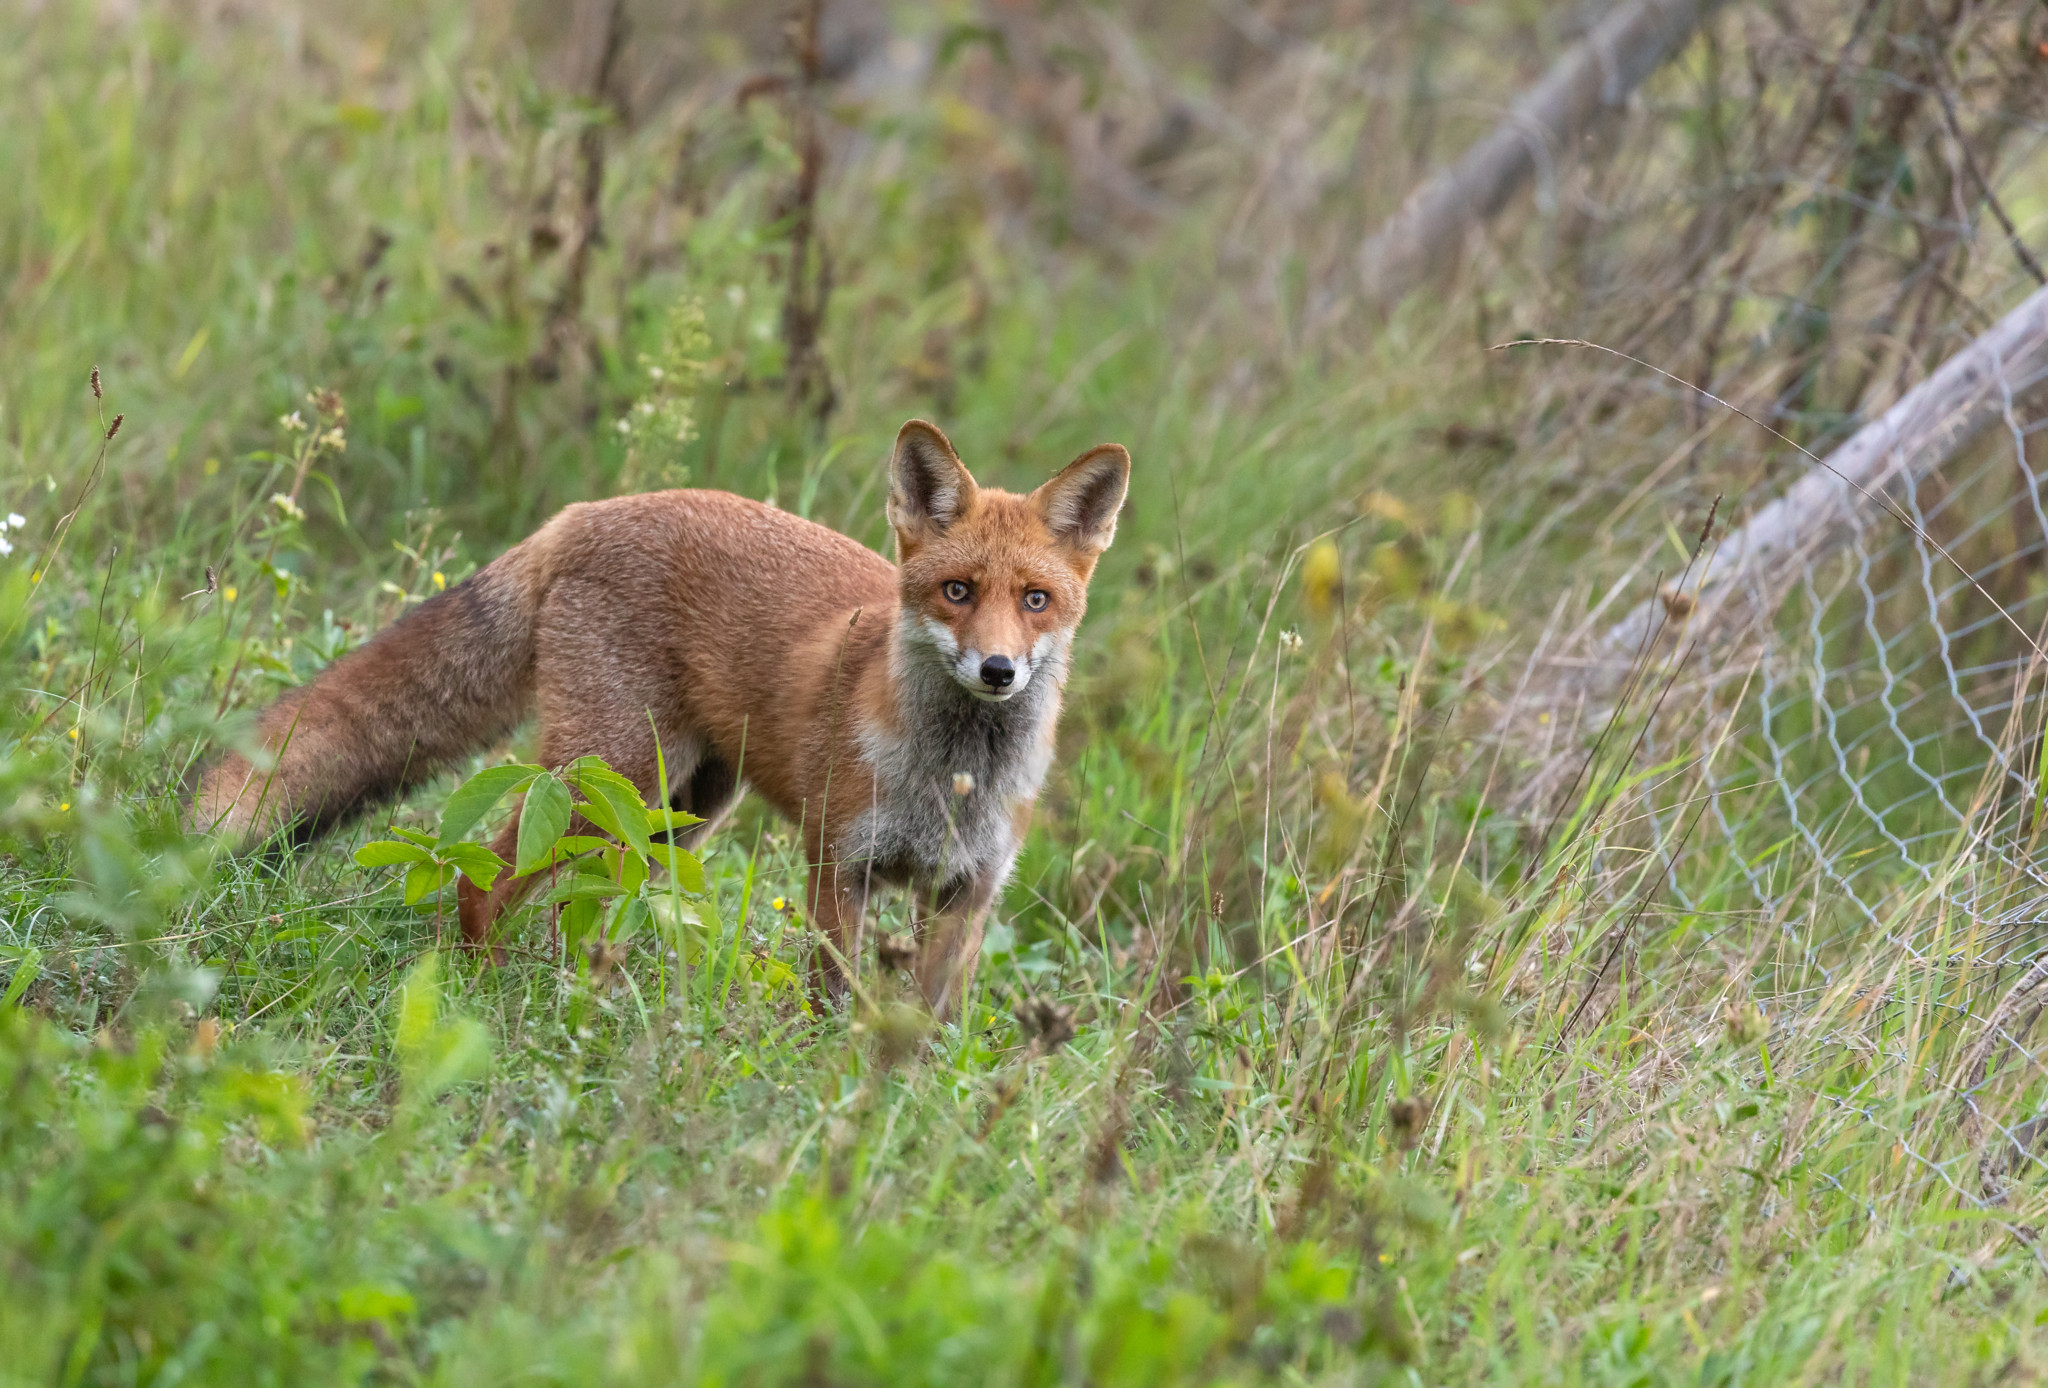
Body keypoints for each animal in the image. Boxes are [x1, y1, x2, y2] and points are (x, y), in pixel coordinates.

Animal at [190, 419, 1130, 1018]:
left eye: (1037, 600)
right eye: (957, 591)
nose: (998, 671)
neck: (951, 780)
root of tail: (584, 512)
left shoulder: (967, 893)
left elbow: (931, 1027)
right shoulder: (838, 865)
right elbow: (832, 1003)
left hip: (674, 813)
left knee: (589, 910)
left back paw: (583, 999)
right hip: (605, 779)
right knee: (482, 881)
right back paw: (482, 1000)